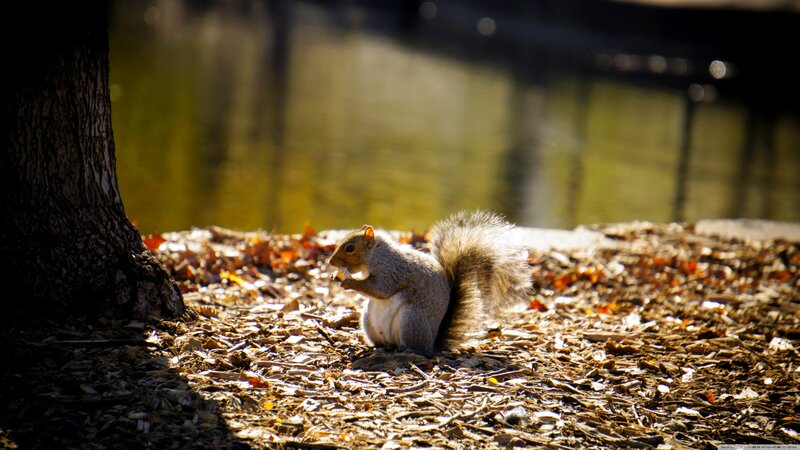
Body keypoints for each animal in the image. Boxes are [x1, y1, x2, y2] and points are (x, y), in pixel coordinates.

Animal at [327, 210, 531, 355]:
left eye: (350, 248)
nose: (331, 262)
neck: (376, 254)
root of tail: (432, 343)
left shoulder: (391, 270)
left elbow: (380, 290)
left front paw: (349, 282)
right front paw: (336, 277)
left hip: (412, 318)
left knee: (417, 348)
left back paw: (406, 349)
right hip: (368, 320)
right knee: (383, 342)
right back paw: (378, 346)